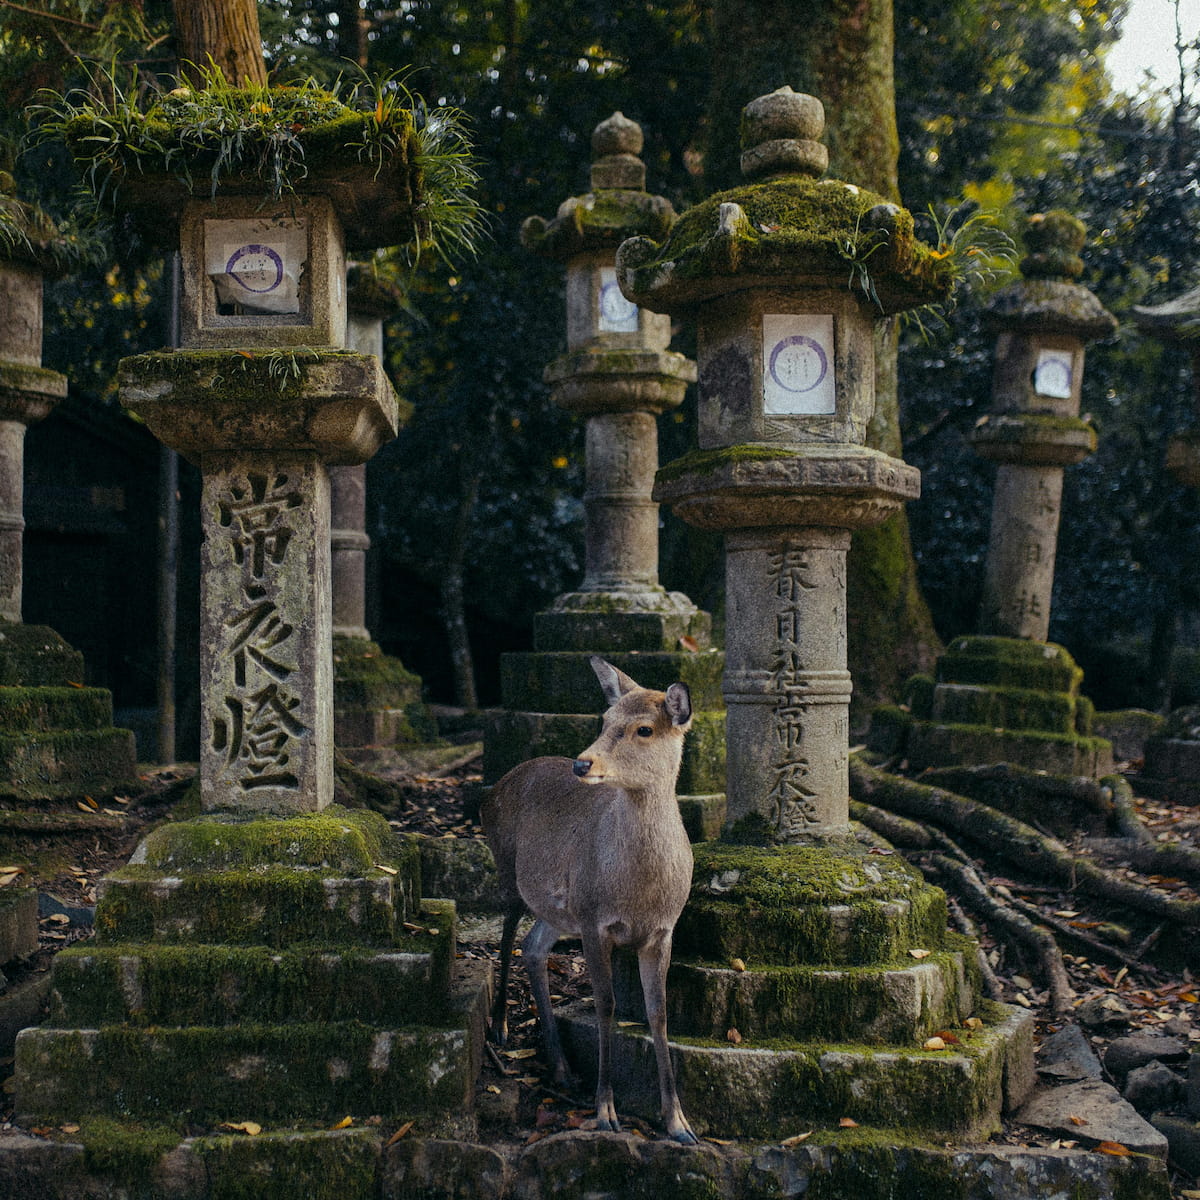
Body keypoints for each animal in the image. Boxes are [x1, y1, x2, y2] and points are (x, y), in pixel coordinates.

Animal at [481, 656, 698, 1145]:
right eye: (605, 719)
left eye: (644, 729)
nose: (583, 764)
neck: (640, 892)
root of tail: (493, 790)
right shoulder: (596, 922)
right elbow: (606, 1006)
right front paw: (606, 1112)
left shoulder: (662, 931)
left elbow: (658, 1014)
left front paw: (678, 1122)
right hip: (509, 872)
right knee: (505, 940)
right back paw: (500, 1026)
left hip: (561, 909)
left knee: (534, 947)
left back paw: (561, 1067)